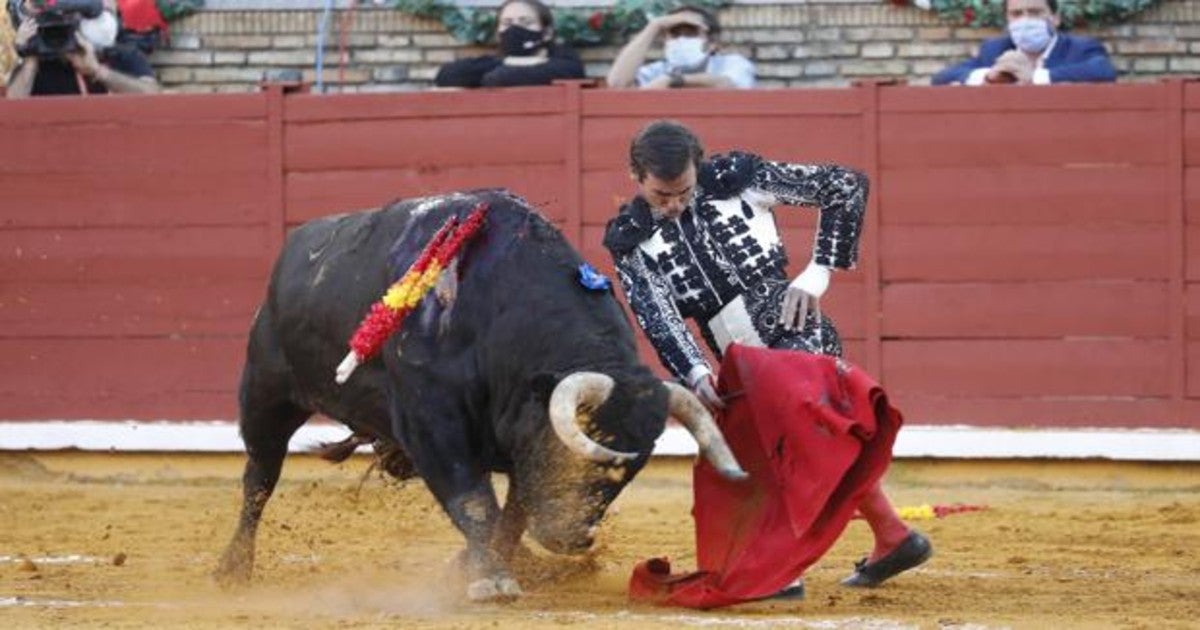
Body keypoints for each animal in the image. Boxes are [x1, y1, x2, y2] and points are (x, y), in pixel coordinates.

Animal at [211, 190, 744, 600]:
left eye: (630, 471)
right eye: (581, 444)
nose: (571, 538)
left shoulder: (519, 451)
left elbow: (510, 516)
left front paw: (481, 568)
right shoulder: (434, 425)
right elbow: (473, 502)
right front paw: (491, 580)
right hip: (265, 395)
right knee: (259, 478)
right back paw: (233, 568)